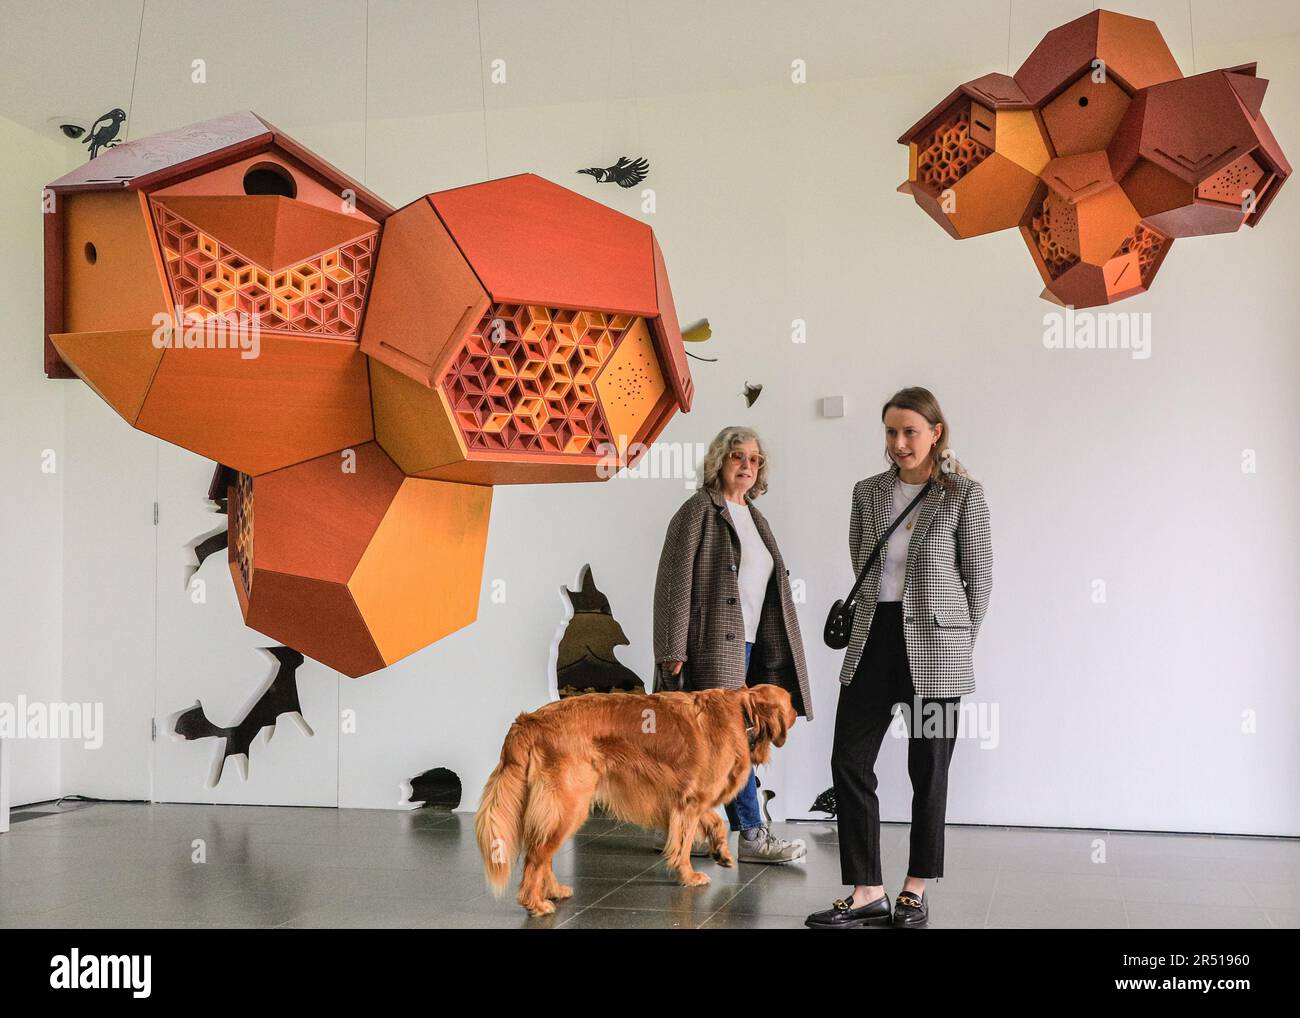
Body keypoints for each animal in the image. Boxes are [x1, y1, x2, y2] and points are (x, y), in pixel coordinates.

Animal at [478, 686, 795, 915]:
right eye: (791, 702)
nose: (799, 711)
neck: (742, 713)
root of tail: (528, 721)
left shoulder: (683, 800)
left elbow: (714, 820)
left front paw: (722, 853)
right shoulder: (691, 800)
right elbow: (685, 843)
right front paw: (688, 876)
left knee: (543, 856)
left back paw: (554, 891)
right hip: (569, 804)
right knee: (535, 857)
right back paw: (535, 903)